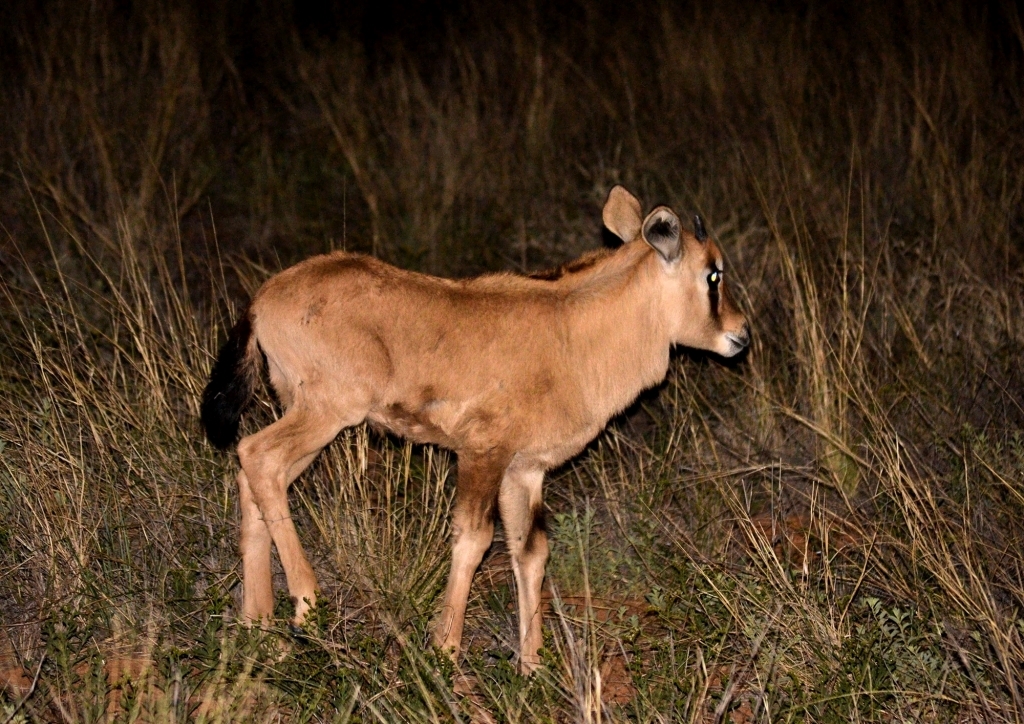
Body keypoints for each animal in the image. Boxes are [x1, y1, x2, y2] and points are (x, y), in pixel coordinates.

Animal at [199, 187, 749, 675]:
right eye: (713, 274)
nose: (740, 335)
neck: (574, 330)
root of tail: (263, 301)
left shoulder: (524, 471)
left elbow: (530, 551)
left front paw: (533, 666)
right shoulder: (483, 453)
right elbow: (474, 538)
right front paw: (445, 650)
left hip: (307, 417)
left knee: (255, 475)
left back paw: (259, 628)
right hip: (327, 412)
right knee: (257, 455)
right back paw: (306, 607)